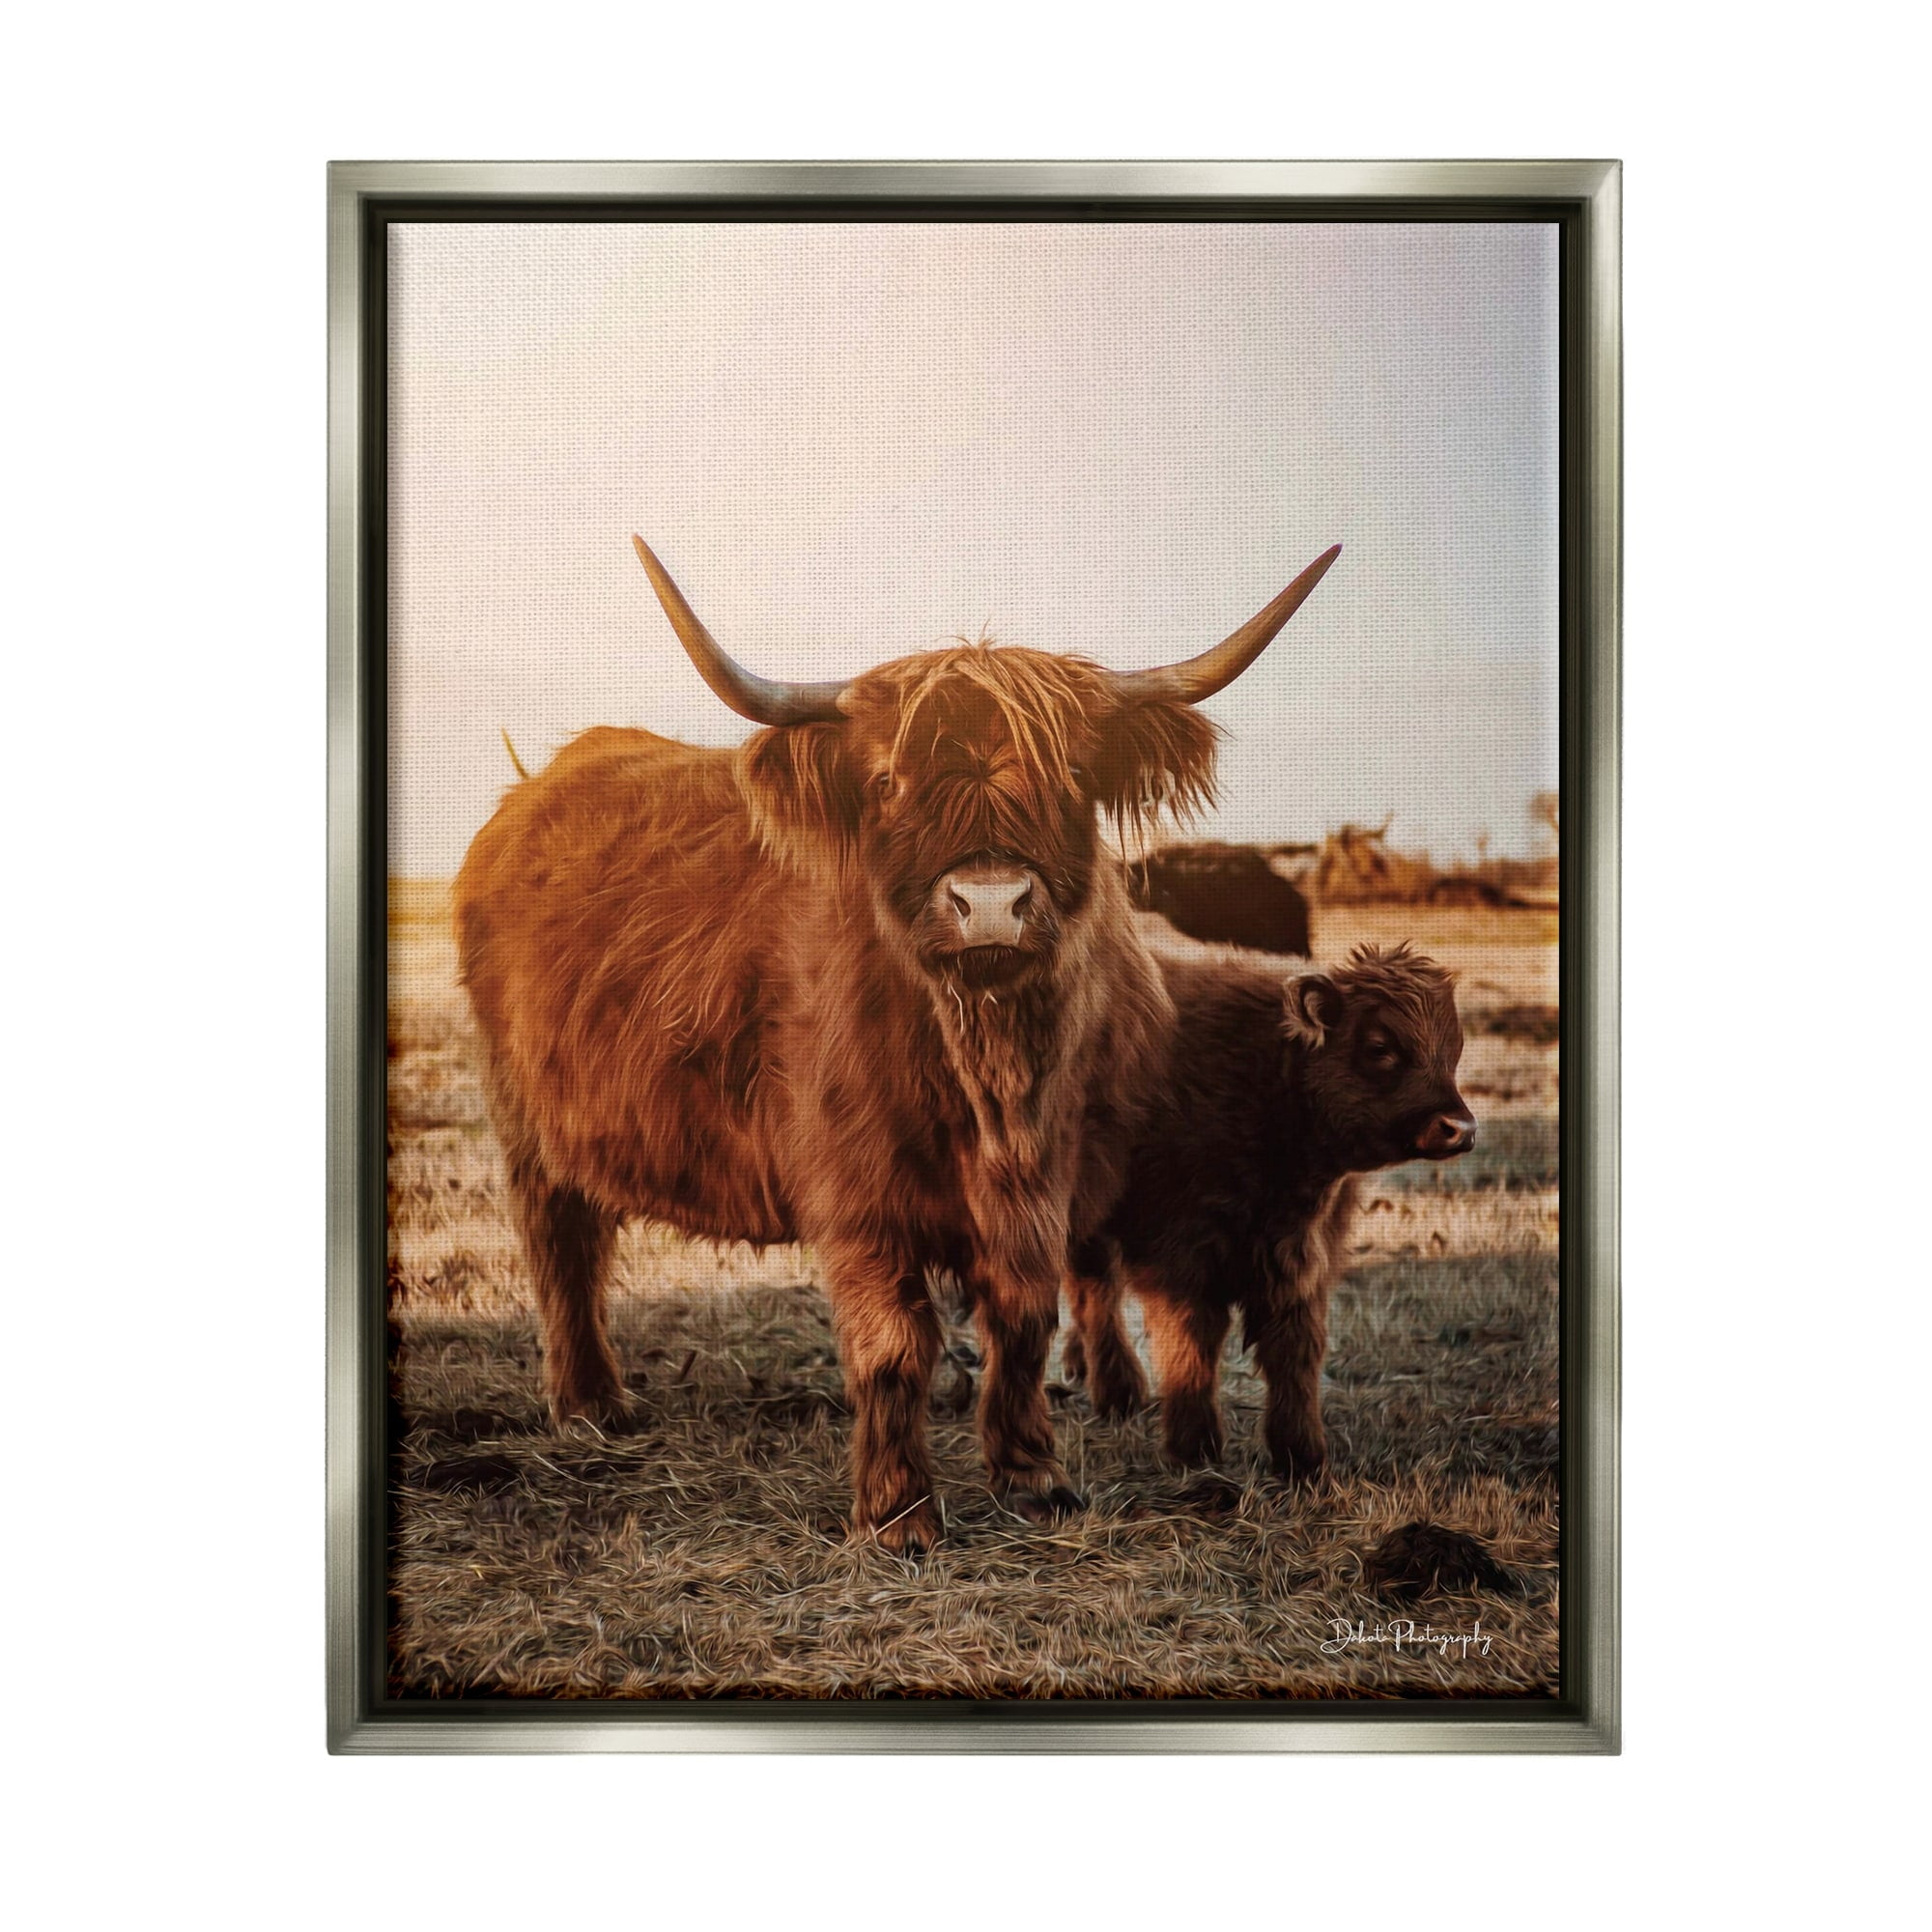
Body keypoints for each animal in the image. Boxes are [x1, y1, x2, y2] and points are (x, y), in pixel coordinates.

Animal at [1063, 942, 1473, 1482]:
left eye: (1454, 1049)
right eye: (1380, 1047)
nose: (1460, 1128)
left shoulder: (1301, 1259)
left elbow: (1295, 1350)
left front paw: (1302, 1457)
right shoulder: (1180, 1256)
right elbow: (1190, 1342)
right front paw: (1195, 1449)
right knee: (1096, 1292)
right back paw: (1118, 1391)